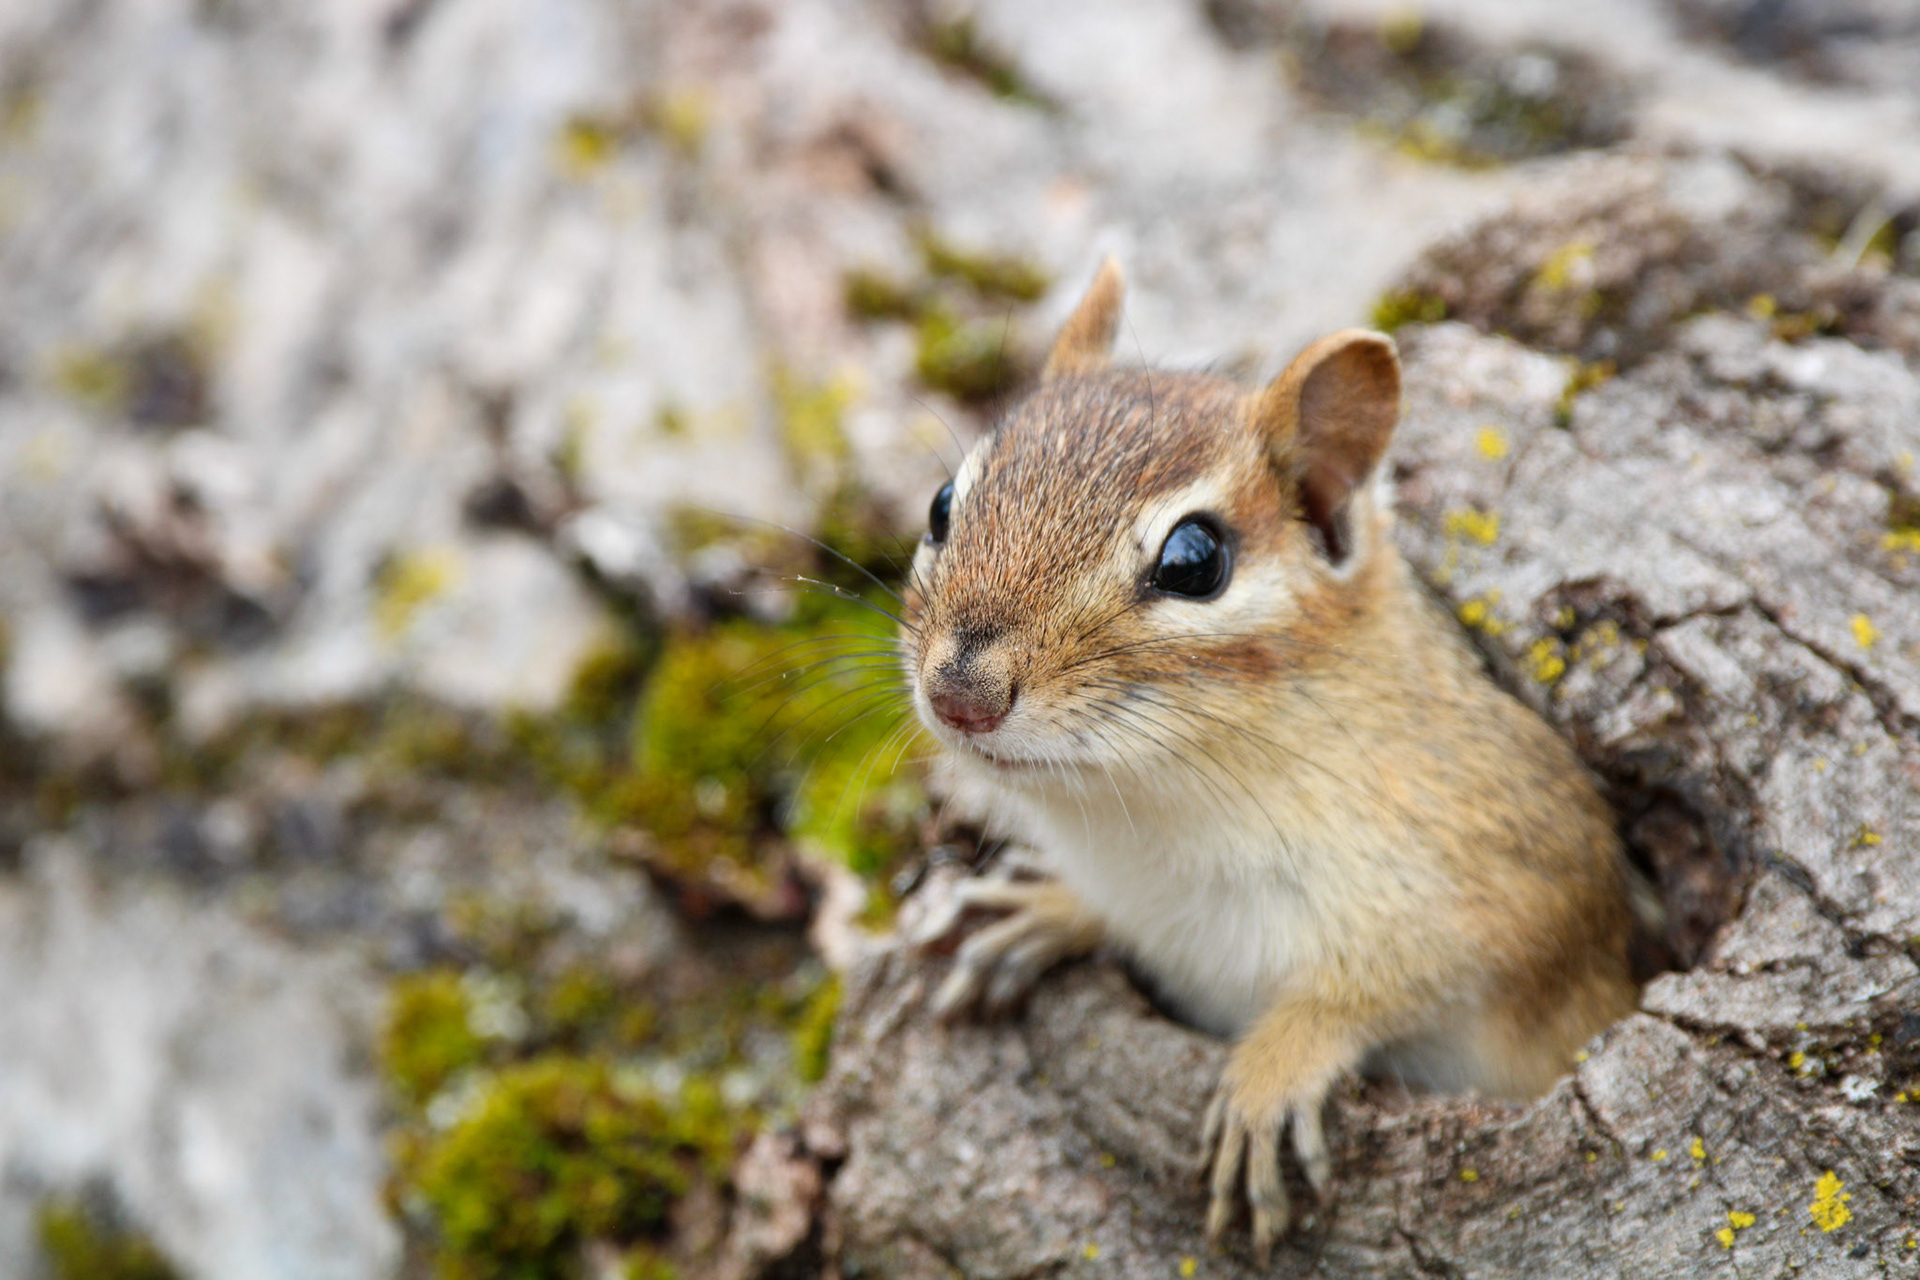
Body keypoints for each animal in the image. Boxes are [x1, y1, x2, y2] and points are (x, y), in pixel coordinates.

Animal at [902, 258, 1640, 1260]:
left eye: (1195, 559)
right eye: (943, 504)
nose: (960, 694)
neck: (1152, 823)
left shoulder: (1516, 876)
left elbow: (1394, 981)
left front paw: (1276, 1068)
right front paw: (1042, 910)